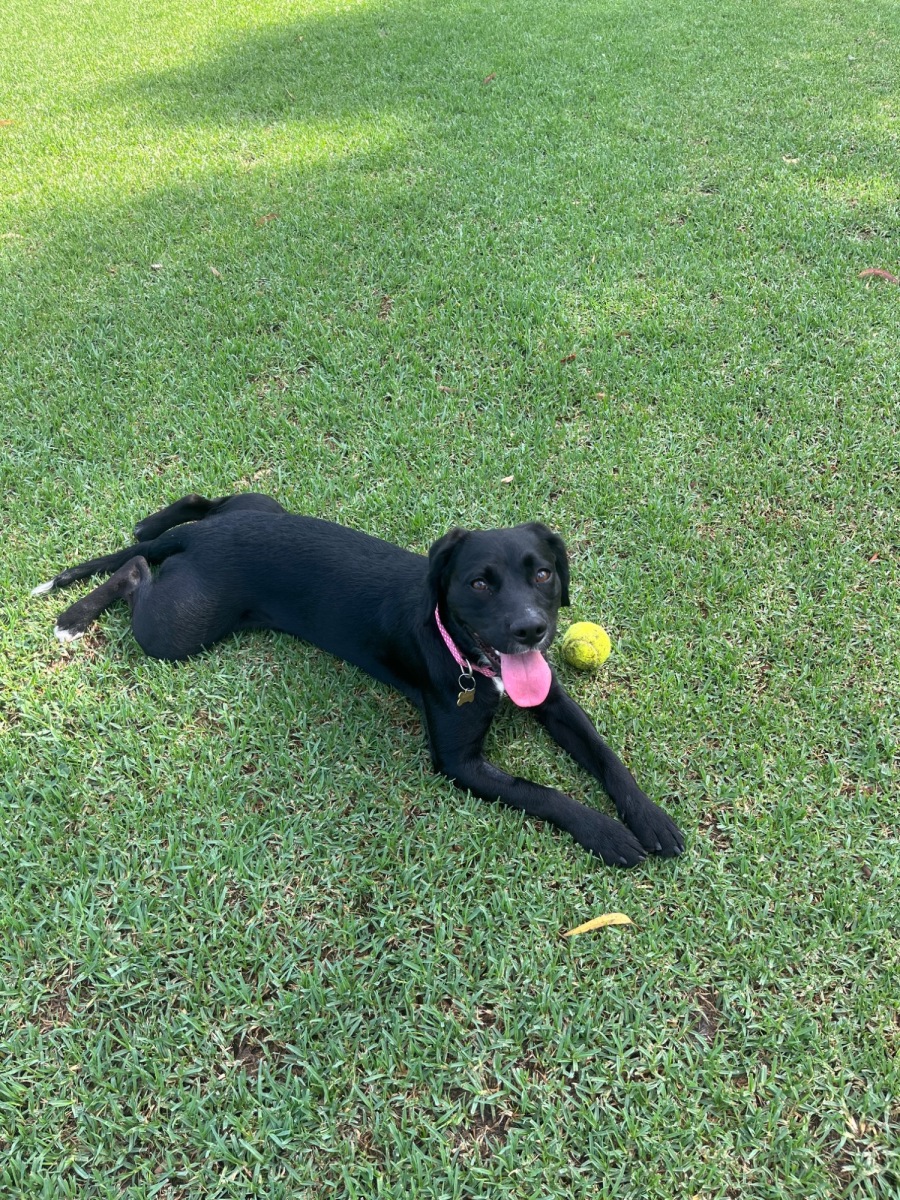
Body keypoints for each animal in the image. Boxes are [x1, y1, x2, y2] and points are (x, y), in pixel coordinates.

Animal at [34, 492, 684, 867]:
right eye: (479, 583)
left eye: (544, 573)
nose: (532, 630)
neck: (467, 655)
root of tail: (200, 538)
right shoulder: (460, 765)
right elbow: (543, 792)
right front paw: (606, 833)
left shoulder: (553, 701)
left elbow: (604, 755)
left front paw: (648, 817)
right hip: (176, 630)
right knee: (134, 569)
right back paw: (76, 614)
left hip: (260, 505)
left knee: (200, 502)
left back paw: (152, 522)